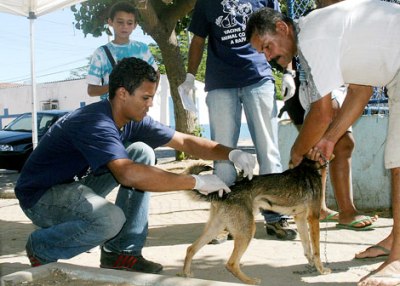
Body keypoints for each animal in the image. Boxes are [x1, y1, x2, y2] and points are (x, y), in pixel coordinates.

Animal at [181, 159, 332, 284]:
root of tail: (226, 193)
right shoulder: (313, 218)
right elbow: (317, 251)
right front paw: (321, 270)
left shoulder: (300, 218)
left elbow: (307, 247)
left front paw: (311, 263)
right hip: (248, 231)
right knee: (231, 264)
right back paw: (250, 280)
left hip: (215, 228)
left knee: (191, 249)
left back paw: (186, 272)